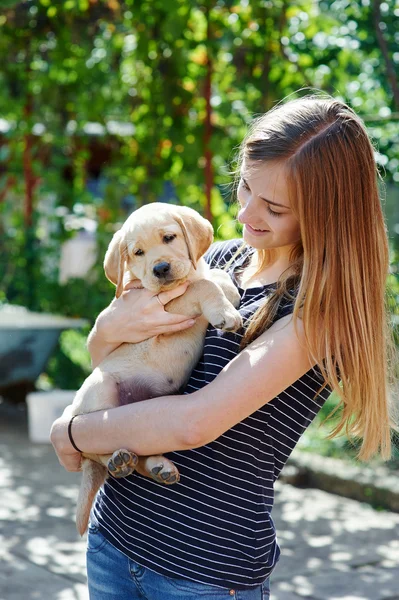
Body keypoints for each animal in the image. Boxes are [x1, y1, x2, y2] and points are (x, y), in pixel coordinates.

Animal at [70, 203, 242, 536]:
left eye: (169, 237)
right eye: (138, 252)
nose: (160, 269)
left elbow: (212, 277)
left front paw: (229, 290)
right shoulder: (165, 309)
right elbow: (202, 285)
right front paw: (225, 311)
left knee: (141, 449)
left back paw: (158, 467)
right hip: (102, 393)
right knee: (95, 445)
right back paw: (118, 460)